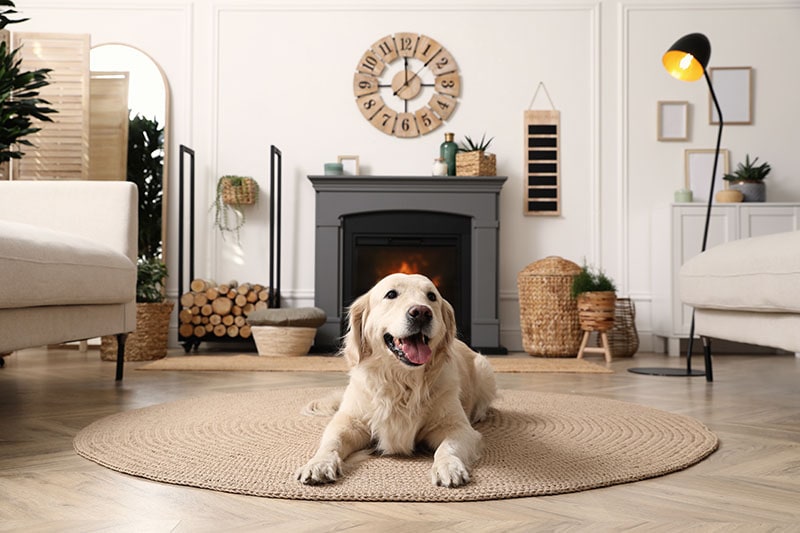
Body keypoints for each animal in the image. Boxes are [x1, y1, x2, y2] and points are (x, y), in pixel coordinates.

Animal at [296, 274, 494, 486]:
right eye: (391, 294)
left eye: (431, 296)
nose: (421, 312)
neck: (402, 382)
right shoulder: (348, 422)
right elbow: (332, 441)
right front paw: (319, 463)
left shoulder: (458, 427)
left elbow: (448, 446)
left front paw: (449, 466)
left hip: (484, 367)